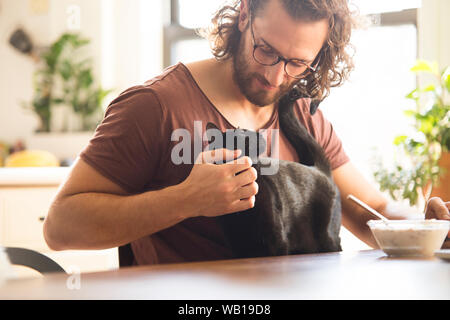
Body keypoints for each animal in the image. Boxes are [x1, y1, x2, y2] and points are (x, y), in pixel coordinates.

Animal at [207, 89, 342, 258]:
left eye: (246, 131)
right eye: (241, 135)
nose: (257, 135)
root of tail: (319, 168)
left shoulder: (276, 240)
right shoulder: (238, 243)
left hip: (326, 237)